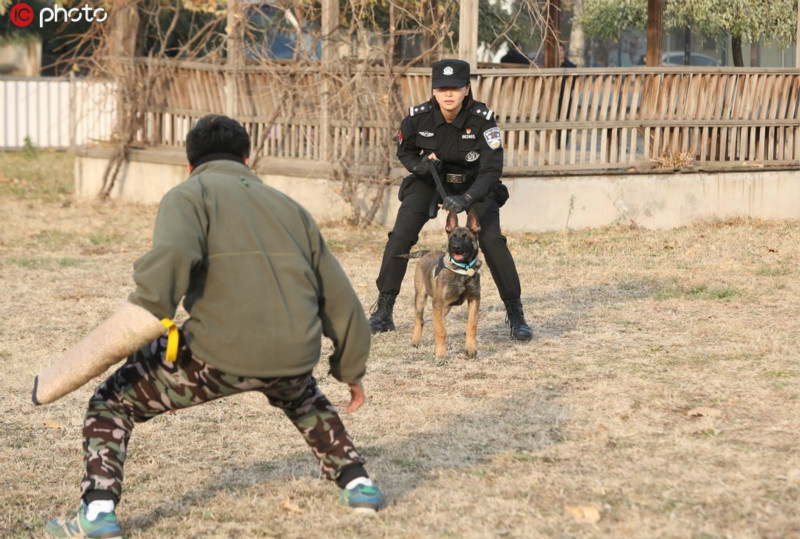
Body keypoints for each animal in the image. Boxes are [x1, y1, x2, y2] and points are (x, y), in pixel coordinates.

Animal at [404, 210, 478, 358]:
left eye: (466, 238)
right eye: (452, 238)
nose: (455, 247)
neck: (462, 270)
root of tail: (428, 252)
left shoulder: (474, 299)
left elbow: (471, 325)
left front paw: (470, 349)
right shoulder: (437, 303)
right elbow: (441, 330)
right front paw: (440, 354)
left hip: (445, 307)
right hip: (421, 298)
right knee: (420, 320)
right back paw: (416, 341)